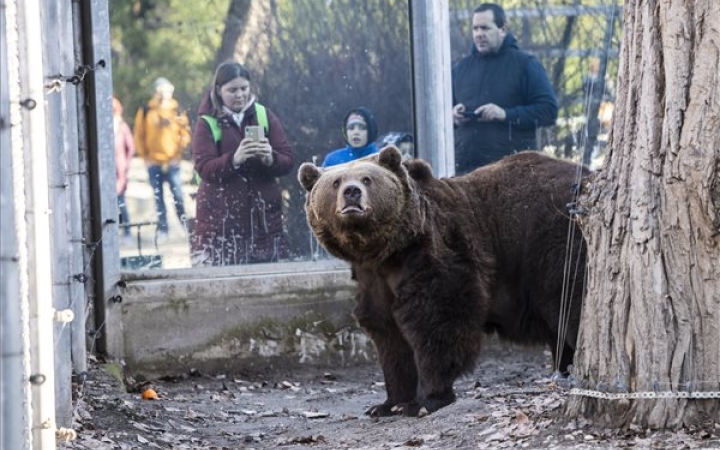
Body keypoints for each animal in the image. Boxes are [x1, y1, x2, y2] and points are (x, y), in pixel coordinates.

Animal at [296, 148, 584, 418]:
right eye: (336, 181)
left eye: (368, 178)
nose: (352, 192)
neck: (386, 254)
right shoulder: (374, 281)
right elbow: (389, 337)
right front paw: (387, 404)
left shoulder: (436, 254)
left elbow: (438, 323)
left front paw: (425, 401)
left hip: (553, 242)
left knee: (572, 305)